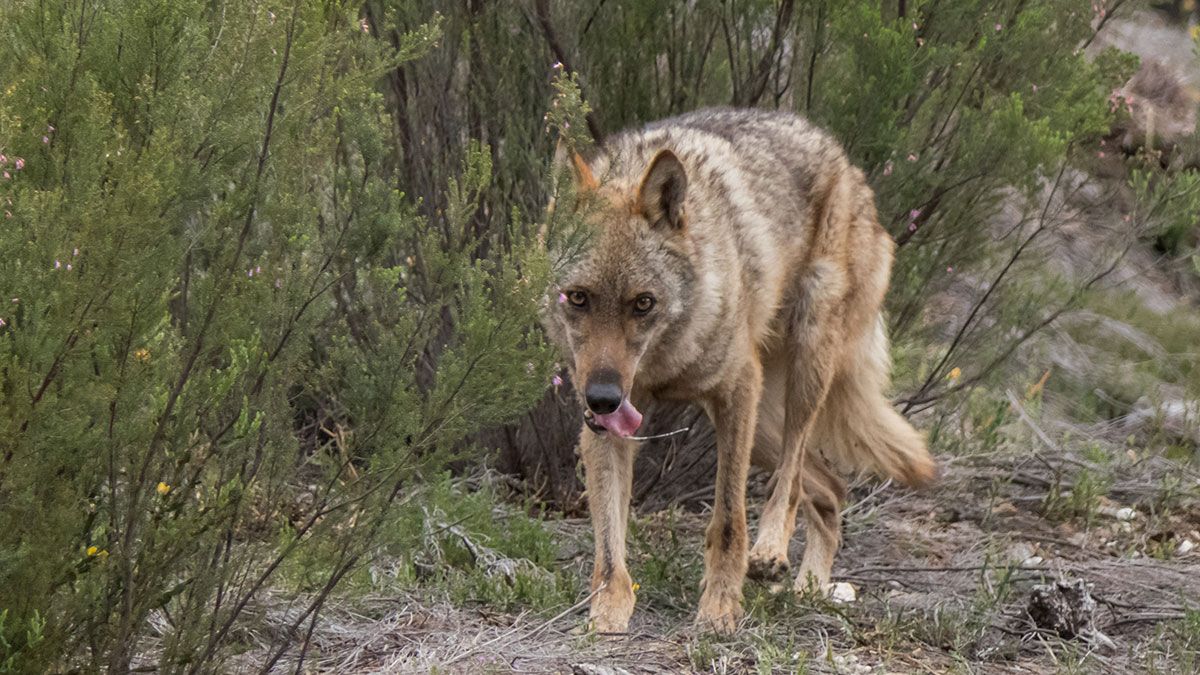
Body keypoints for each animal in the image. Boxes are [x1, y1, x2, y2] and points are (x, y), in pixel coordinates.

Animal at [544, 106, 936, 629]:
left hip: (800, 373)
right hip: (763, 426)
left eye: (643, 303)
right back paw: (810, 589)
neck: (664, 361)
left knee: (791, 481)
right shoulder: (606, 427)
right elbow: (609, 546)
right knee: (831, 489)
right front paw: (607, 616)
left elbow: (729, 519)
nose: (603, 398)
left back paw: (771, 553)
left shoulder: (735, 391)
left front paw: (720, 609)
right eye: (578, 298)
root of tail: (847, 163)